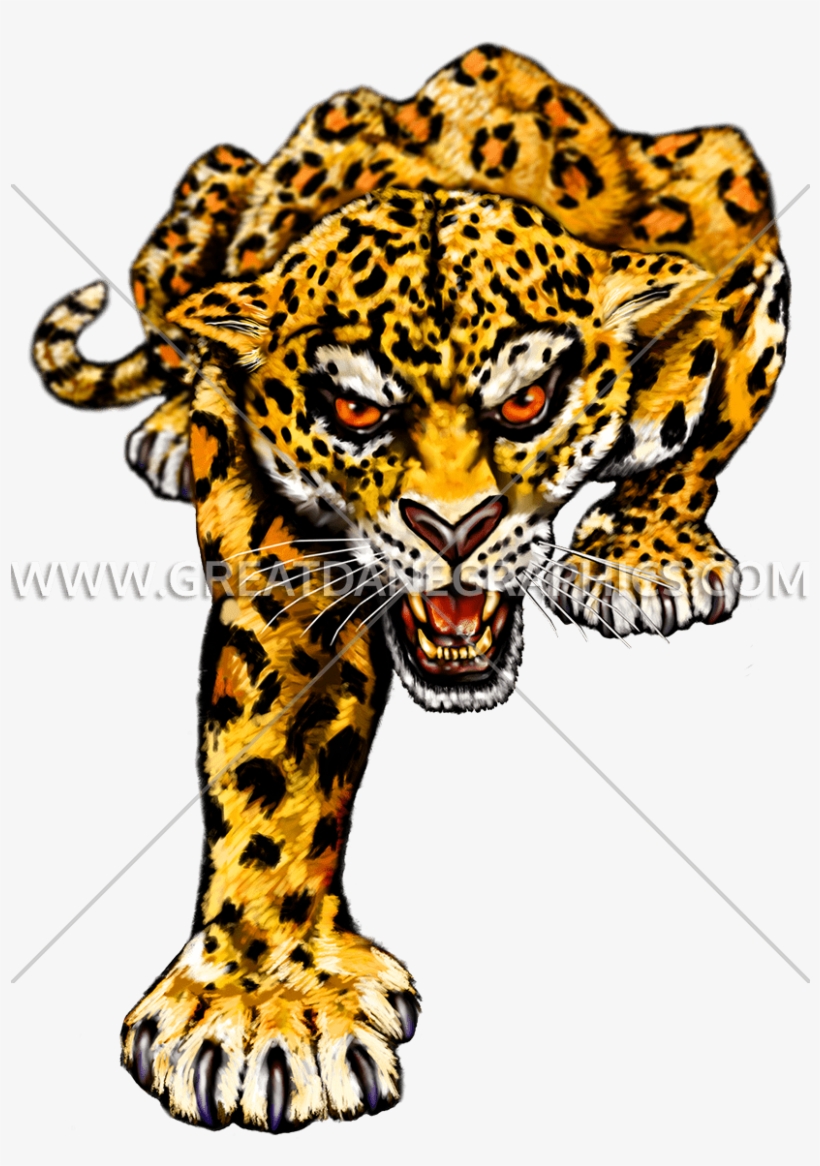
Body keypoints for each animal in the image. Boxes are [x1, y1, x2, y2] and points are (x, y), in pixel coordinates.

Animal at [31, 46, 789, 1134]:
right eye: (354, 412)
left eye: (526, 402)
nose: (452, 528)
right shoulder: (284, 550)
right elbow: (270, 758)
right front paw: (262, 1007)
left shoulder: (735, 218)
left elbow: (710, 414)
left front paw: (645, 557)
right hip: (197, 204)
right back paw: (173, 423)